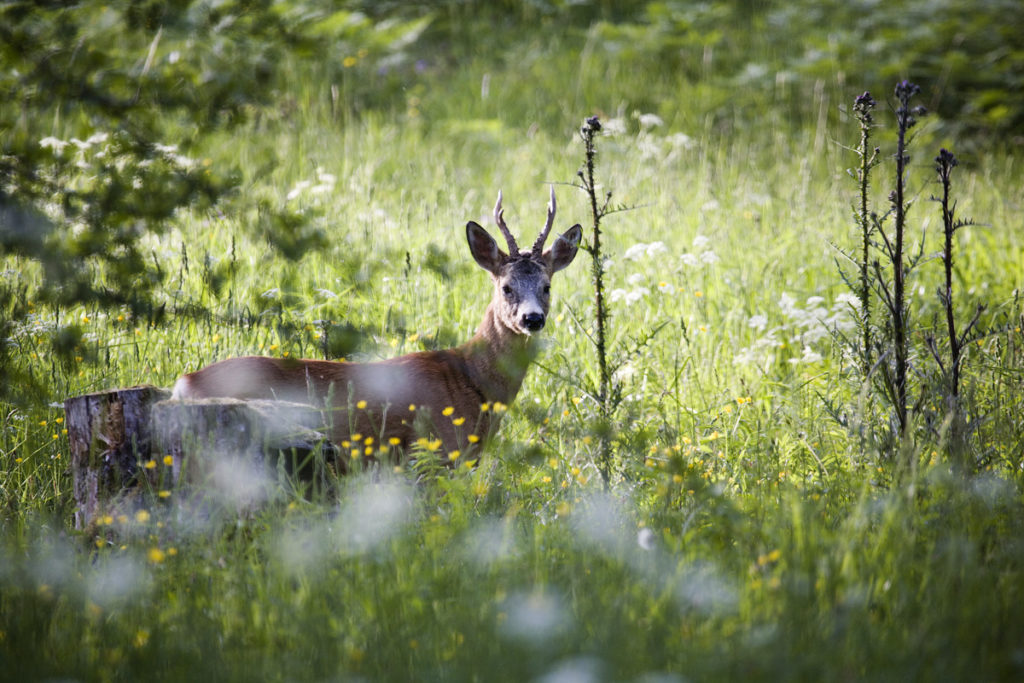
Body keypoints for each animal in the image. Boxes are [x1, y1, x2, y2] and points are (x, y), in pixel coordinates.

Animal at [172, 189, 581, 462]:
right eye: (507, 286)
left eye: (547, 286)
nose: (532, 318)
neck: (471, 382)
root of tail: (184, 382)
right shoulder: (434, 452)